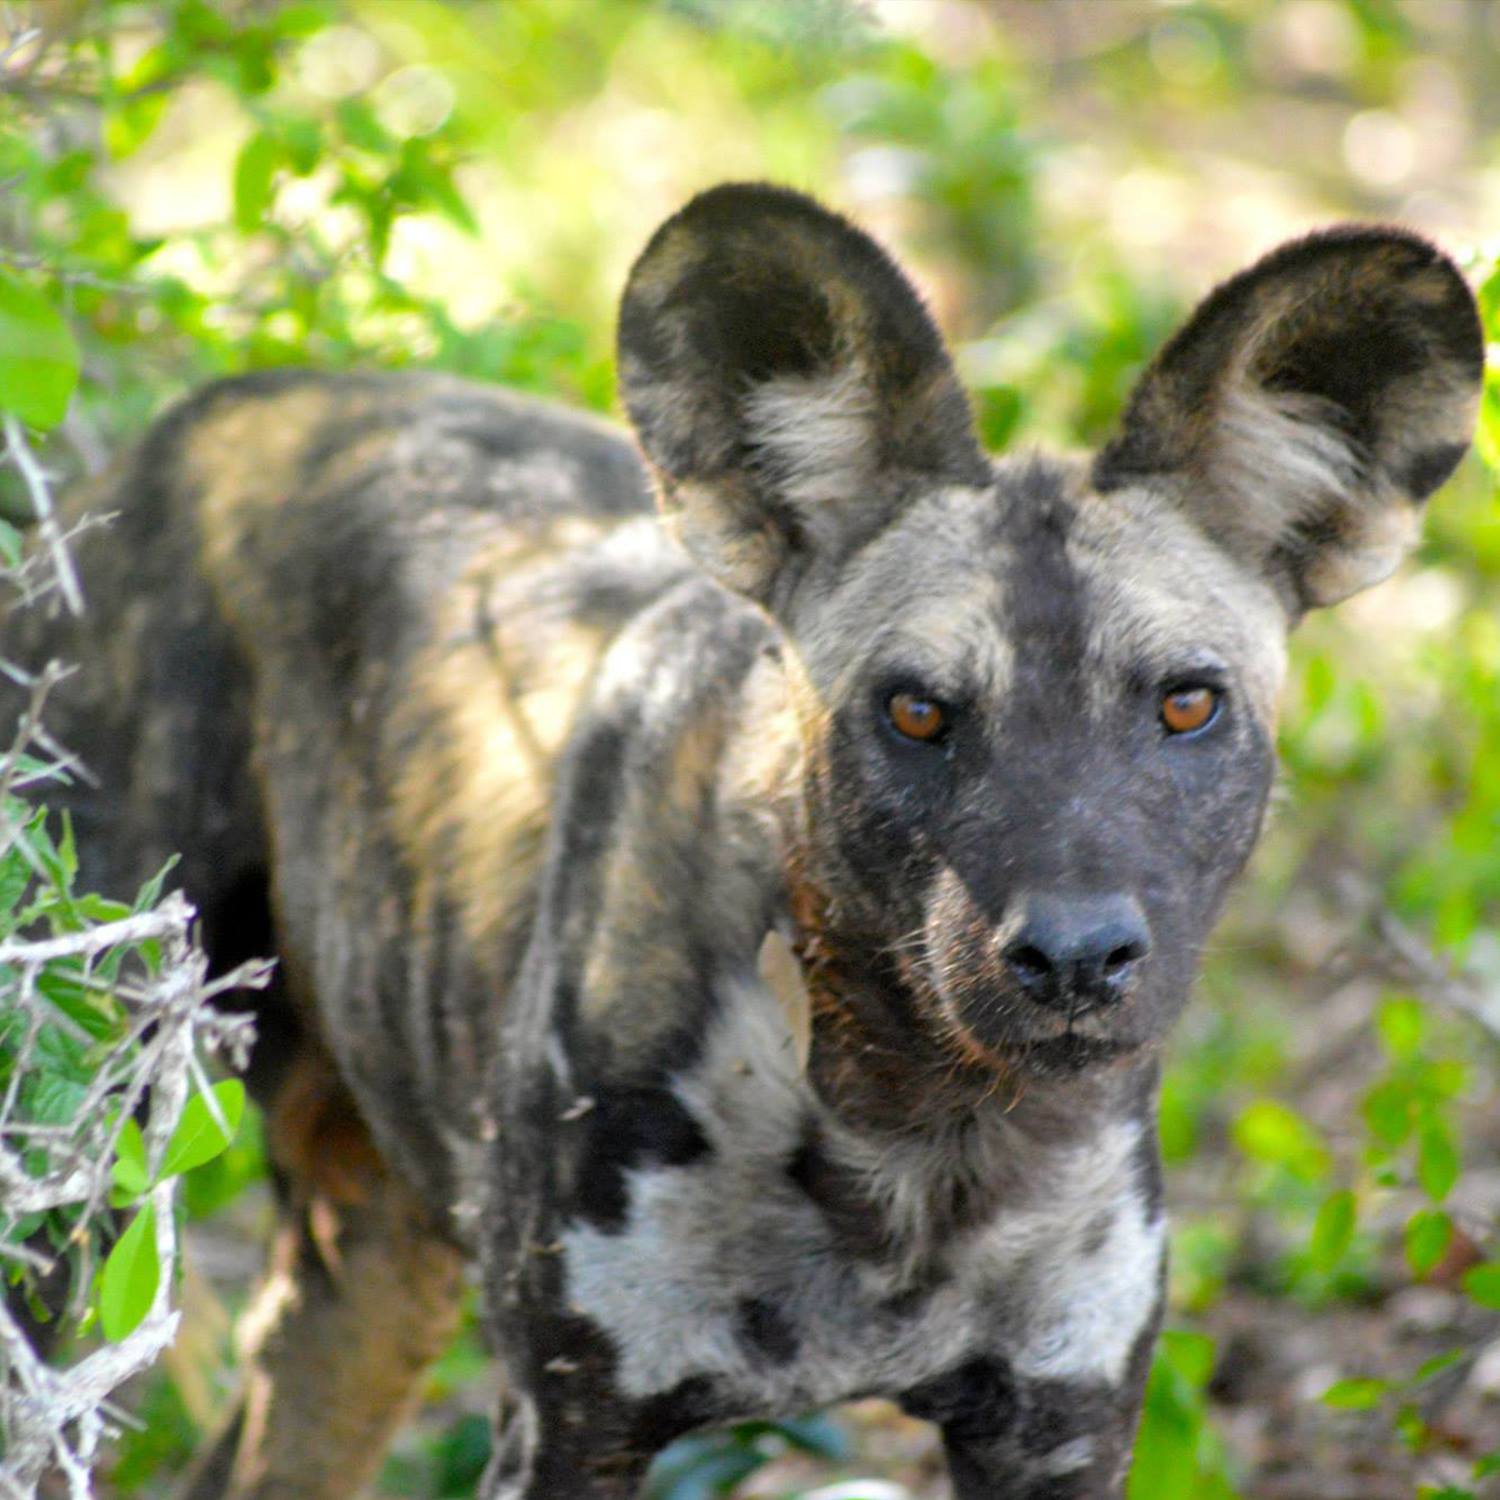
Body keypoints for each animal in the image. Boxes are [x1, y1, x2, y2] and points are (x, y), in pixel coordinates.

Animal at [17, 181, 1482, 1494]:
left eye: (1186, 703)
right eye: (916, 710)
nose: (1073, 958)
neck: (921, 1152)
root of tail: (212, 413)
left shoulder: (1061, 1434)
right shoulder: (572, 1434)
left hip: (375, 1272)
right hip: (74, 1186)